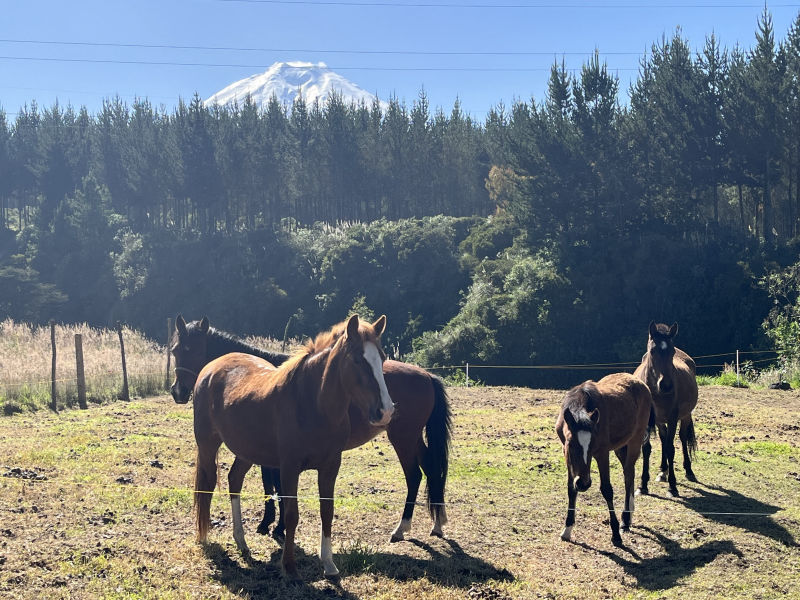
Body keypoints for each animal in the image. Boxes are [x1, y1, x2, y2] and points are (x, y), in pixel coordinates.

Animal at [170, 314, 450, 544]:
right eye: (175, 350)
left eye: (189, 349)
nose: (178, 391)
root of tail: (428, 376)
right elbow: (270, 486)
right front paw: (271, 523)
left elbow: (273, 486)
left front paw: (274, 525)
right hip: (412, 437)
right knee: (431, 468)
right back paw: (437, 523)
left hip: (403, 437)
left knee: (414, 475)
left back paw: (401, 528)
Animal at [192, 314, 396, 580]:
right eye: (357, 360)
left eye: (381, 358)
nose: (386, 411)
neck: (311, 403)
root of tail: (210, 368)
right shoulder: (289, 467)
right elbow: (291, 514)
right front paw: (289, 566)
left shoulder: (331, 466)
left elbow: (326, 511)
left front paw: (329, 564)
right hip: (207, 444)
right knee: (207, 485)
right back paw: (205, 537)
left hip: (247, 450)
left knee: (234, 480)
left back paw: (241, 542)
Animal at [552, 372, 652, 548]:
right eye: (571, 444)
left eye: (592, 444)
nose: (583, 484)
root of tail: (639, 382)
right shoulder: (566, 453)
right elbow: (571, 489)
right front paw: (567, 529)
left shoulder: (602, 453)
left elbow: (607, 490)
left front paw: (616, 534)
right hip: (621, 447)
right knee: (629, 472)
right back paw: (629, 514)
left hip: (635, 440)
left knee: (628, 474)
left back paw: (625, 519)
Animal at [636, 322, 696, 500]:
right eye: (652, 351)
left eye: (672, 352)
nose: (666, 385)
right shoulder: (648, 421)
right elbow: (646, 449)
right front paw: (643, 485)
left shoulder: (672, 418)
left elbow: (671, 449)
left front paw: (673, 487)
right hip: (659, 420)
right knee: (663, 439)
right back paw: (663, 470)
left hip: (685, 416)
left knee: (682, 438)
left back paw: (688, 470)